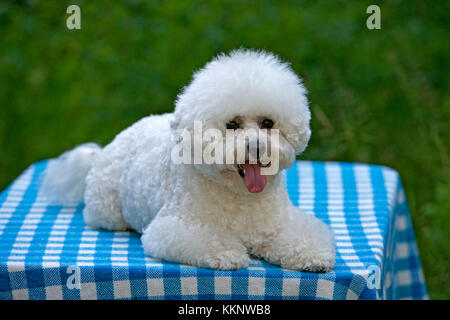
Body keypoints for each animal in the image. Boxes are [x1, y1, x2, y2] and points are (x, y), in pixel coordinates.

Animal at [42, 48, 336, 272]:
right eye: (232, 124)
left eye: (267, 123)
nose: (256, 147)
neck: (240, 197)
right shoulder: (176, 226)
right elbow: (211, 241)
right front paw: (229, 255)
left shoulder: (282, 223)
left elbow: (304, 236)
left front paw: (312, 256)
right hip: (106, 208)